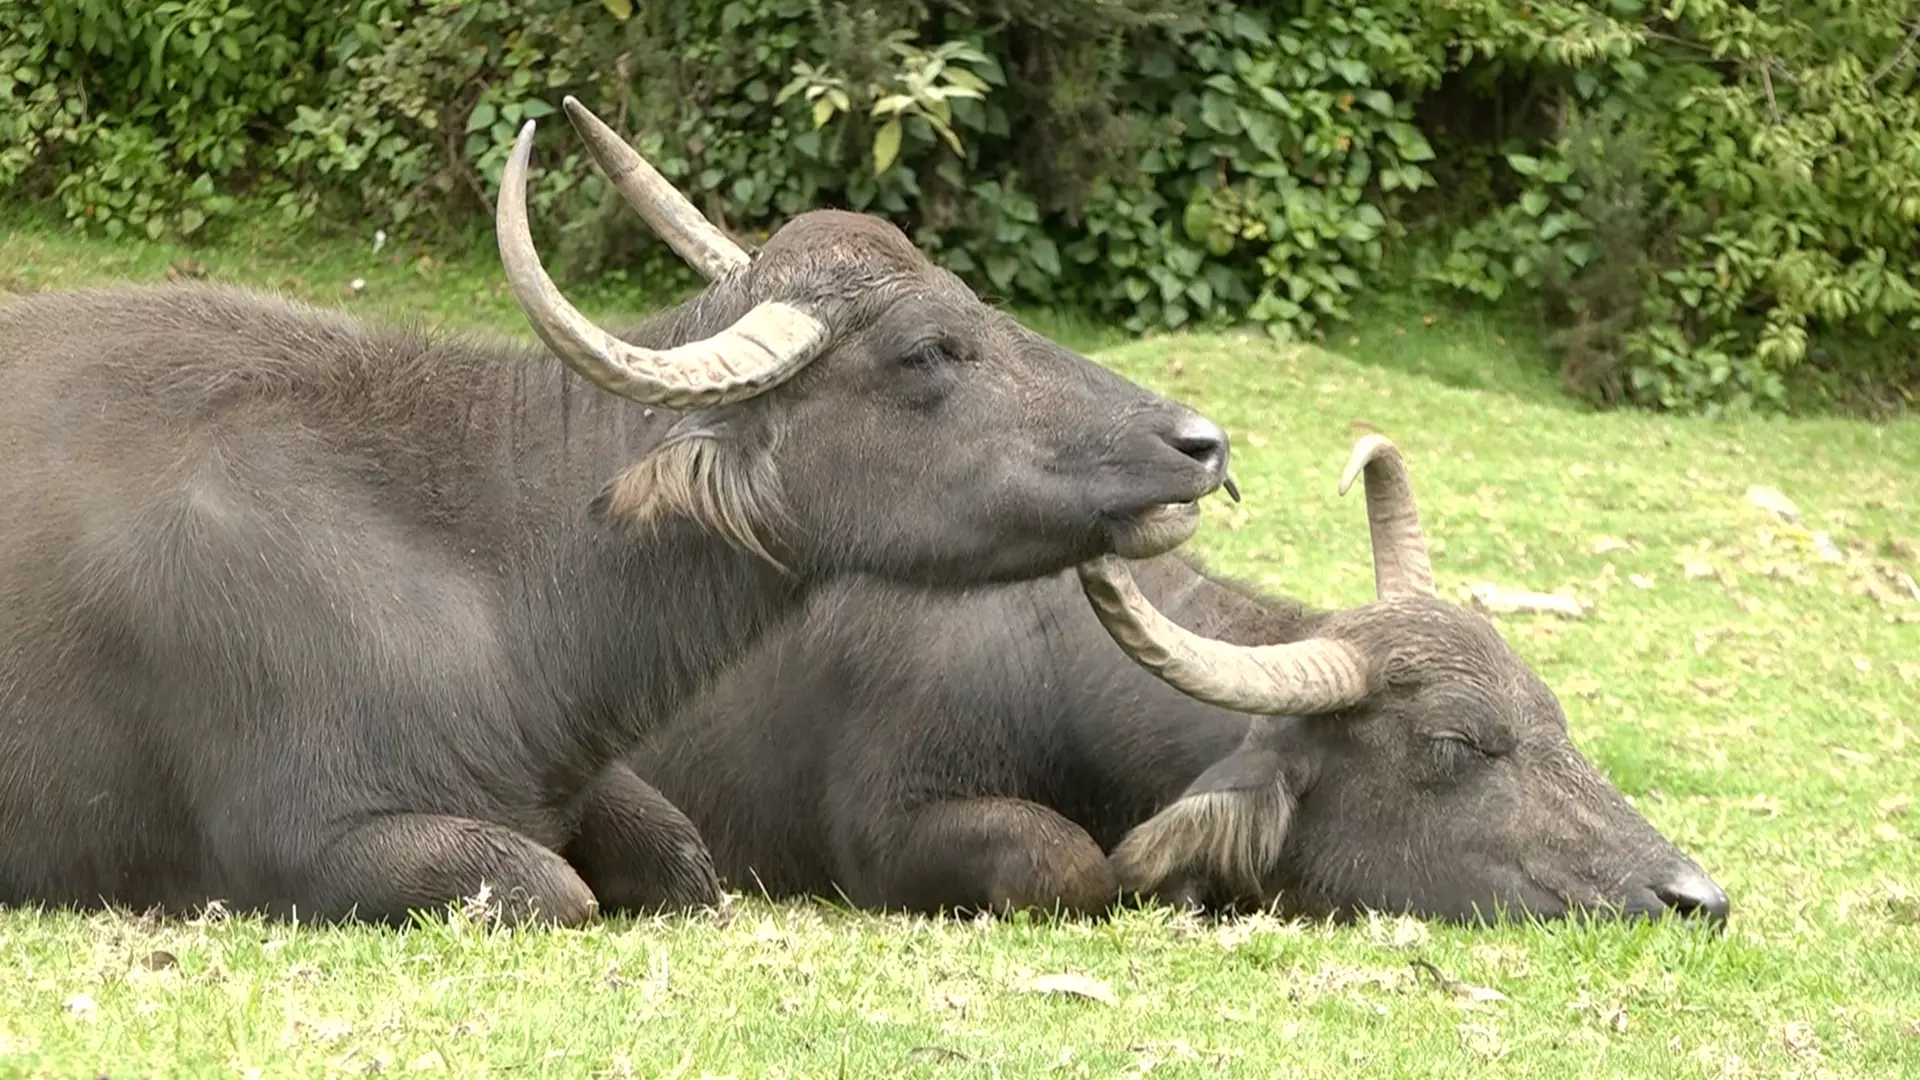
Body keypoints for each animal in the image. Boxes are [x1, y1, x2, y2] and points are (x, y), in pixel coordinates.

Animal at [0, 98, 1228, 926]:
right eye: (927, 350)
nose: (1199, 444)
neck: (482, 560)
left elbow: (683, 858)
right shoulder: (306, 841)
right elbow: (554, 888)